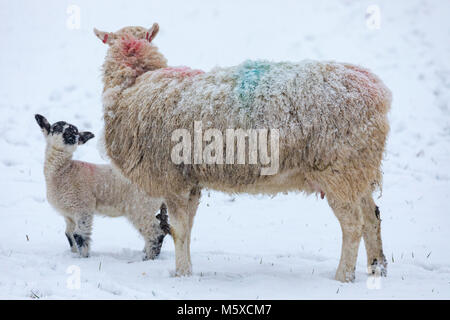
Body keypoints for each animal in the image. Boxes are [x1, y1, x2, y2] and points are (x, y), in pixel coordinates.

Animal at [34, 114, 171, 258]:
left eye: (76, 131)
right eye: (56, 127)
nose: (71, 135)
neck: (64, 171)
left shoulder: (83, 207)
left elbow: (79, 235)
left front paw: (84, 257)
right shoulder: (68, 214)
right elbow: (69, 235)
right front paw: (74, 254)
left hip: (140, 207)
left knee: (156, 233)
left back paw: (148, 258)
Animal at [94, 23, 390, 282]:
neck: (132, 86)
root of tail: (377, 90)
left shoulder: (173, 179)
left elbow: (178, 230)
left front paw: (181, 274)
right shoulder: (191, 181)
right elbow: (188, 228)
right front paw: (186, 271)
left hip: (338, 170)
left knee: (353, 225)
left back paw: (343, 277)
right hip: (357, 170)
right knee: (372, 217)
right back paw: (377, 268)